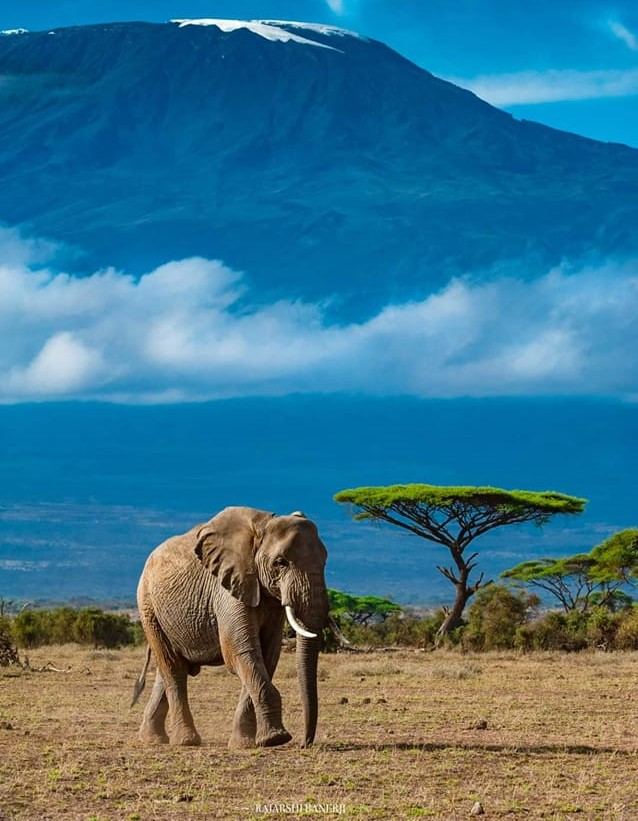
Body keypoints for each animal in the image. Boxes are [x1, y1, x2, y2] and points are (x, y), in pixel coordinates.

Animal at [131, 506, 329, 749]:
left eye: (325, 562)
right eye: (280, 562)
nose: (305, 743)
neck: (260, 527)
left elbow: (267, 655)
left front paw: (246, 743)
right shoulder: (228, 587)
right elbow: (241, 652)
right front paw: (275, 739)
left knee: (167, 668)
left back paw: (152, 739)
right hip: (148, 606)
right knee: (173, 667)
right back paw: (185, 741)